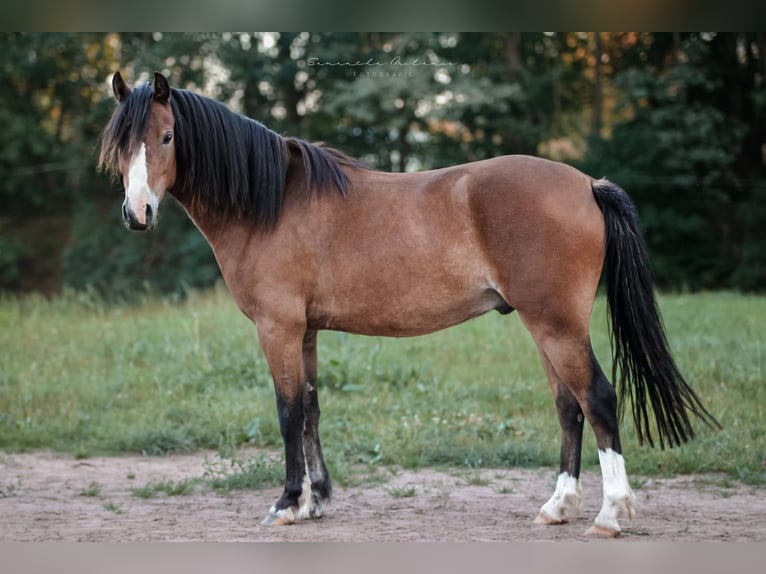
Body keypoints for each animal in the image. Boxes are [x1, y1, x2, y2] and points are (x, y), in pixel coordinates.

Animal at [97, 73, 720, 540]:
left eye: (168, 137)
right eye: (122, 144)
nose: (136, 214)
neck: (269, 202)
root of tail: (588, 183)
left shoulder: (278, 328)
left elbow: (288, 412)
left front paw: (287, 503)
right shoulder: (306, 332)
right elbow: (313, 409)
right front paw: (316, 500)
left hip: (557, 324)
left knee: (599, 400)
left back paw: (612, 515)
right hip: (548, 327)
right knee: (570, 408)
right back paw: (557, 507)